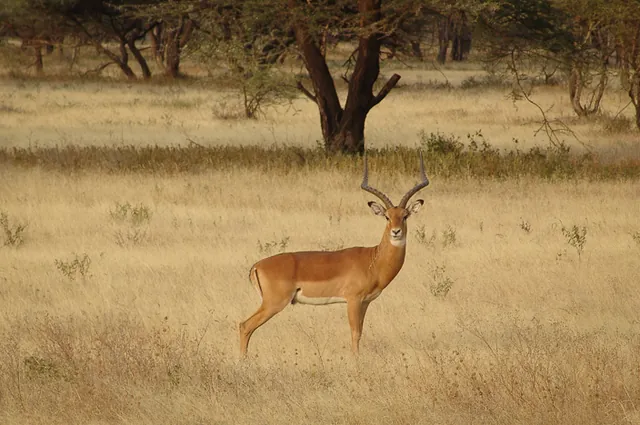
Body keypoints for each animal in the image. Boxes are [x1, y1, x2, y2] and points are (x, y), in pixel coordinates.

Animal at [239, 153, 429, 356]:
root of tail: (256, 266)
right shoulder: (353, 300)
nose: (396, 231)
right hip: (274, 303)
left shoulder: (365, 302)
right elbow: (355, 333)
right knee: (245, 325)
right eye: (387, 216)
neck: (373, 260)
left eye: (405, 216)